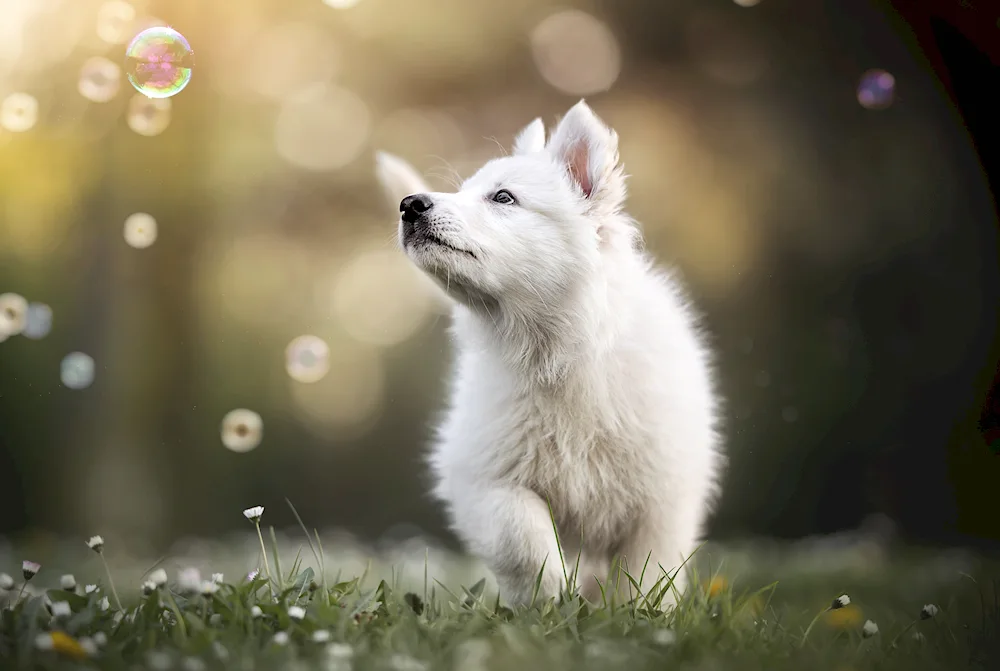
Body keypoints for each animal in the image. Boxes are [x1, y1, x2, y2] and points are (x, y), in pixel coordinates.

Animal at [372, 101, 724, 608]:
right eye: (463, 189)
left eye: (503, 198)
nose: (410, 204)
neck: (554, 351)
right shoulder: (483, 474)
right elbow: (520, 534)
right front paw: (549, 595)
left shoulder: (663, 498)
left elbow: (646, 571)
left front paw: (636, 616)